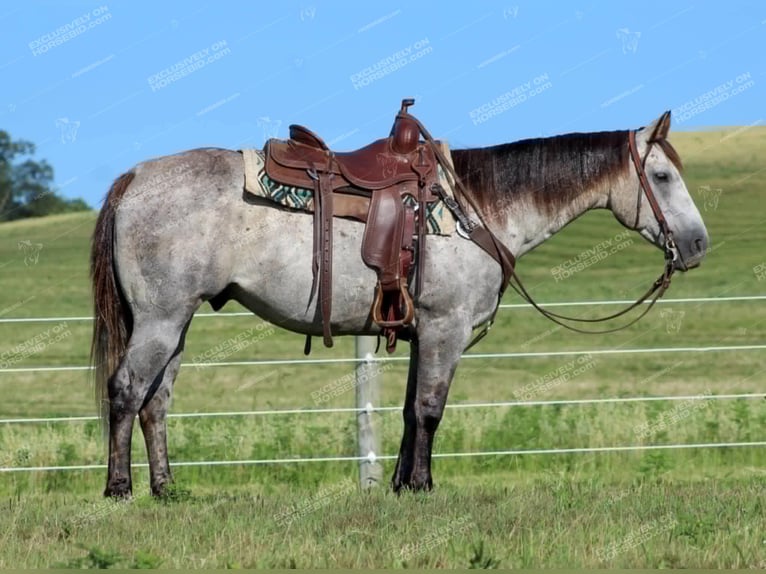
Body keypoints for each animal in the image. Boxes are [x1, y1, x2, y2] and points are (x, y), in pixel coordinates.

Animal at [93, 111, 712, 500]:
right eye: (661, 175)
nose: (699, 245)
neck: (477, 208)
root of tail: (135, 178)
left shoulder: (422, 331)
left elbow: (411, 410)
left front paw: (401, 485)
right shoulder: (446, 328)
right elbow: (431, 409)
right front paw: (420, 487)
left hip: (175, 323)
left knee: (156, 402)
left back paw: (167, 489)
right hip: (160, 319)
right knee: (126, 392)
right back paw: (120, 489)